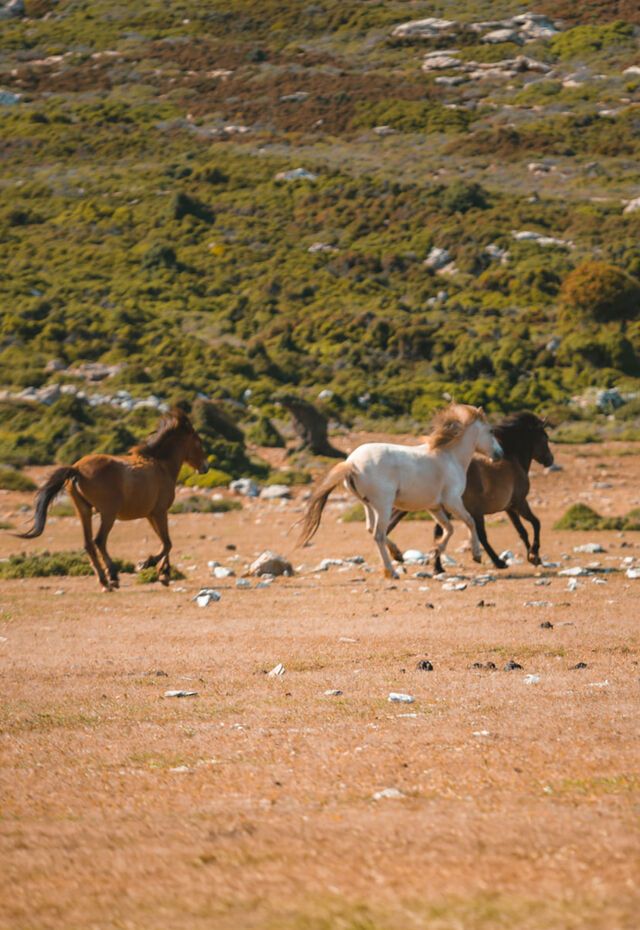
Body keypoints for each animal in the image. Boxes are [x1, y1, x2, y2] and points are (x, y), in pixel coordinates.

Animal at [18, 408, 208, 590]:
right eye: (198, 441)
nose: (205, 467)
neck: (161, 465)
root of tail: (76, 469)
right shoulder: (160, 512)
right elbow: (167, 543)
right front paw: (147, 564)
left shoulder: (151, 515)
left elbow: (164, 541)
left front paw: (164, 575)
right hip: (108, 513)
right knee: (99, 541)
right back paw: (113, 577)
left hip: (84, 511)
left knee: (88, 544)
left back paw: (104, 581)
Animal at [298, 404, 503, 578]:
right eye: (491, 431)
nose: (499, 454)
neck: (449, 456)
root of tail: (351, 463)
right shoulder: (452, 501)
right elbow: (470, 522)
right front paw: (476, 555)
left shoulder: (434, 507)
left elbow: (449, 528)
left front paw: (435, 552)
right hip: (384, 505)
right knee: (379, 534)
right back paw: (391, 571)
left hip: (368, 505)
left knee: (371, 528)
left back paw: (398, 555)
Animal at [385, 412, 553, 572]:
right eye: (545, 437)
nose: (550, 460)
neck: (512, 461)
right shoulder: (519, 503)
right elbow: (535, 523)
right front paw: (533, 556)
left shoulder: (509, 508)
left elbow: (521, 531)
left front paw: (533, 557)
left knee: (440, 532)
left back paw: (437, 567)